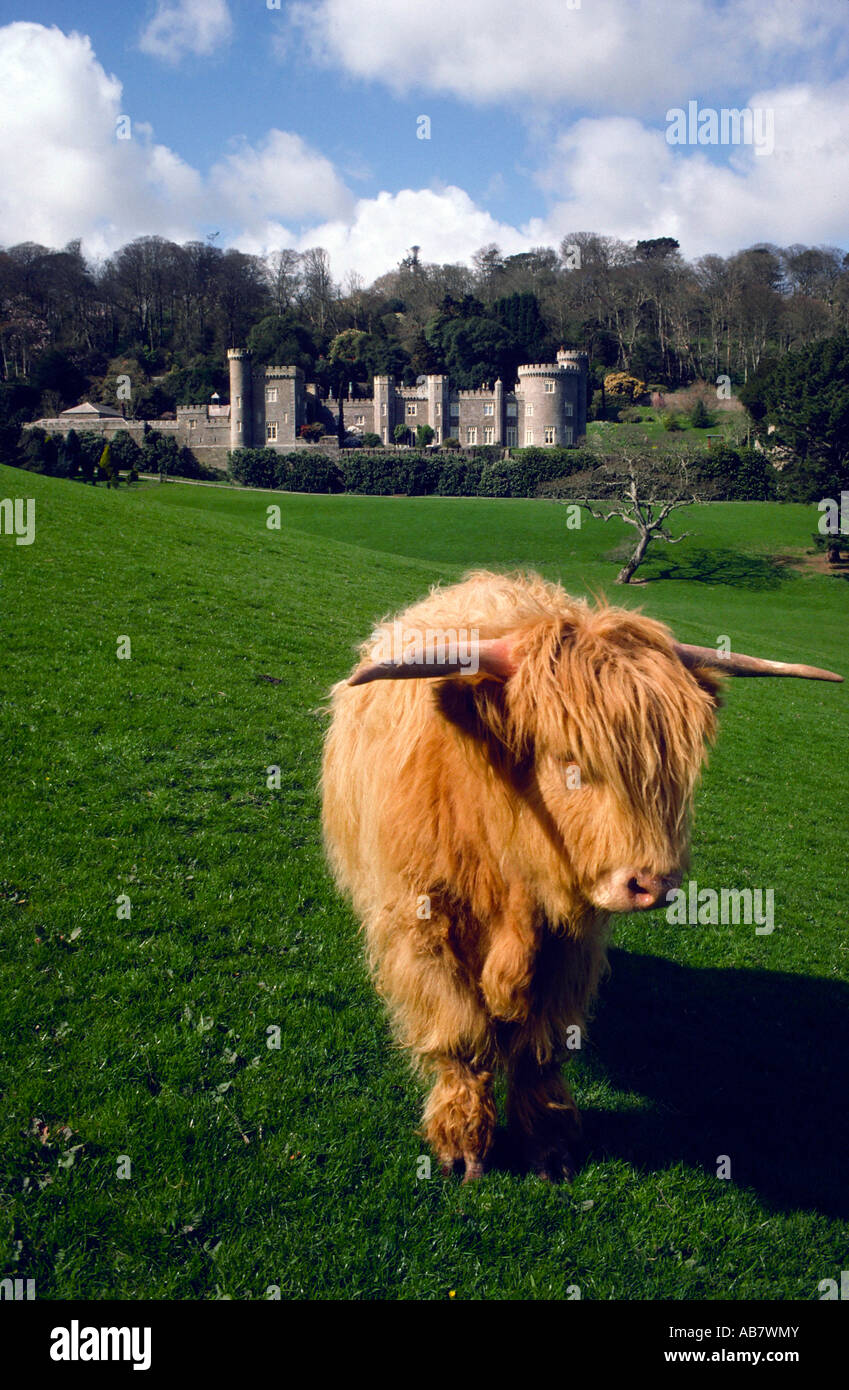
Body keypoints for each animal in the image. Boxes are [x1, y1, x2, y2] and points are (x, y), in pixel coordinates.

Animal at [321, 571, 841, 1182]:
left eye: (672, 766)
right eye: (570, 760)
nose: (652, 885)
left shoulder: (571, 942)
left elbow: (543, 1046)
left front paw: (549, 1146)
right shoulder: (424, 926)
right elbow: (460, 1036)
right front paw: (463, 1146)